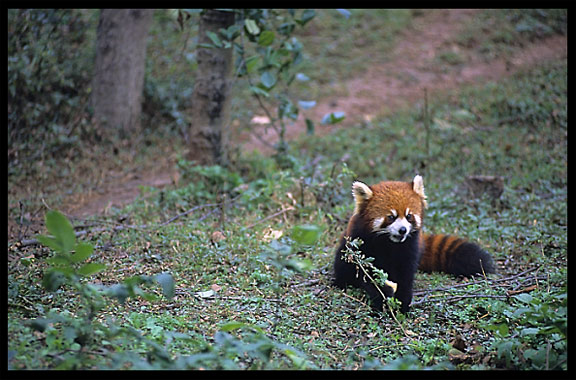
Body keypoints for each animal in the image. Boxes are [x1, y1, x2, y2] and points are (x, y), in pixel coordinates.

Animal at [332, 175, 496, 312]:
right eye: (391, 217)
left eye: (409, 216)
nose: (403, 230)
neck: (389, 243)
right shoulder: (364, 243)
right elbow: (368, 274)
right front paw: (382, 297)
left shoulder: (409, 247)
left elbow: (405, 273)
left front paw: (403, 300)